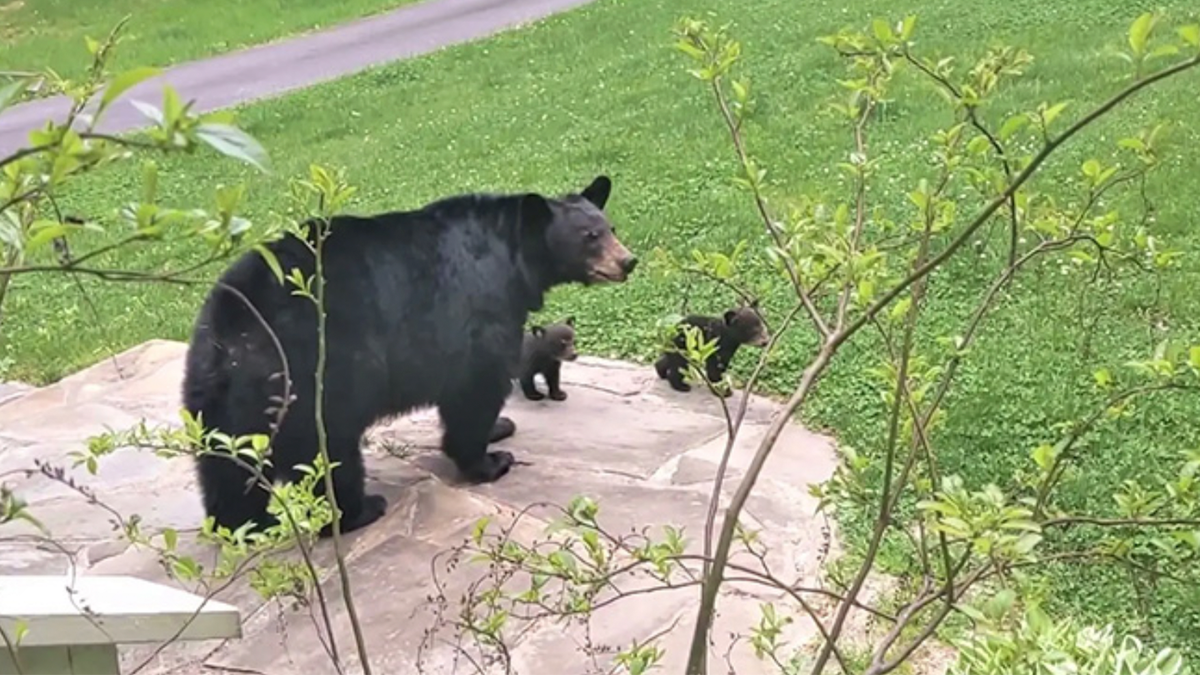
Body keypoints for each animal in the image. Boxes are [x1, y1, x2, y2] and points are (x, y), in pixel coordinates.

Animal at [178, 174, 638, 535]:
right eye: (590, 237)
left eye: (610, 226)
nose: (628, 261)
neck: (513, 254)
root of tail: (233, 327)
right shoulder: (478, 309)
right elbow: (477, 386)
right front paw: (490, 461)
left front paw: (500, 427)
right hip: (315, 374)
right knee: (326, 452)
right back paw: (360, 510)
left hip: (218, 397)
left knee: (224, 463)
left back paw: (244, 524)